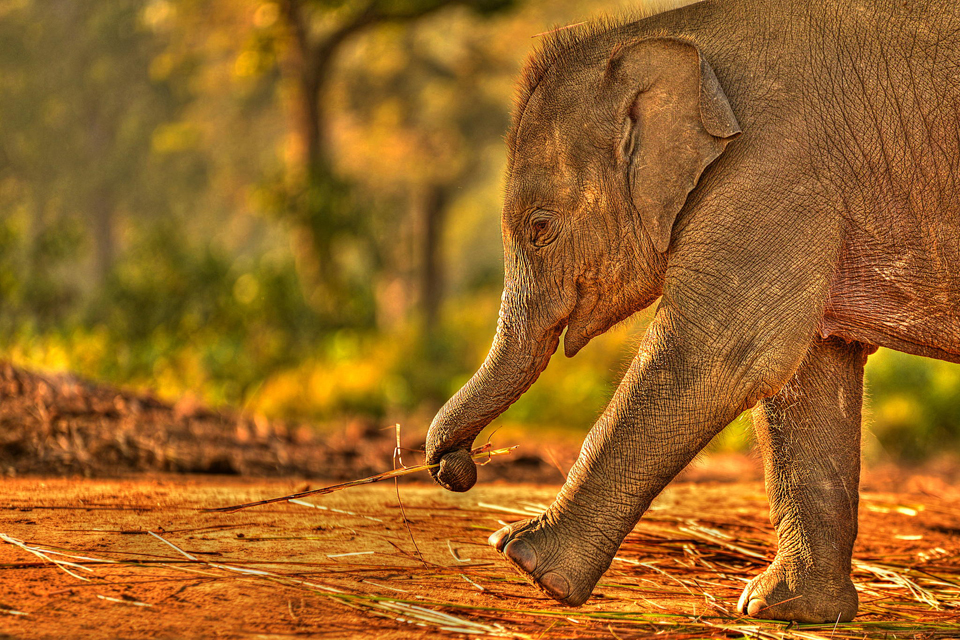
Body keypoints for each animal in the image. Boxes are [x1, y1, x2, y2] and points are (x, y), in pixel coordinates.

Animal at [424, 0, 960, 624]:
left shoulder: (774, 169)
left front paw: (525, 560)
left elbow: (719, 354)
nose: (457, 467)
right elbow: (807, 377)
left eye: (540, 228)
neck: (662, 38)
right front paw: (785, 610)